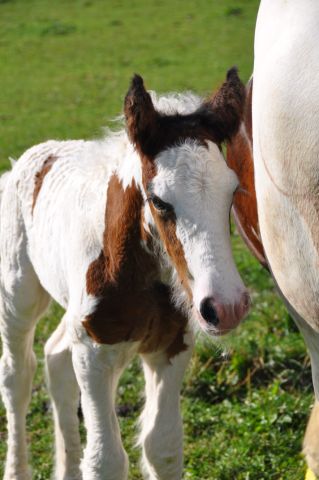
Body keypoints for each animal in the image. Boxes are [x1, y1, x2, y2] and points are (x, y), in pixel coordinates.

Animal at [0, 68, 250, 480]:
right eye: (159, 201)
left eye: (233, 193)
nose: (226, 308)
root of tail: (35, 155)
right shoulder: (94, 352)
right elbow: (105, 459)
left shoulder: (171, 345)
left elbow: (162, 447)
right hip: (17, 293)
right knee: (18, 374)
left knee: (55, 355)